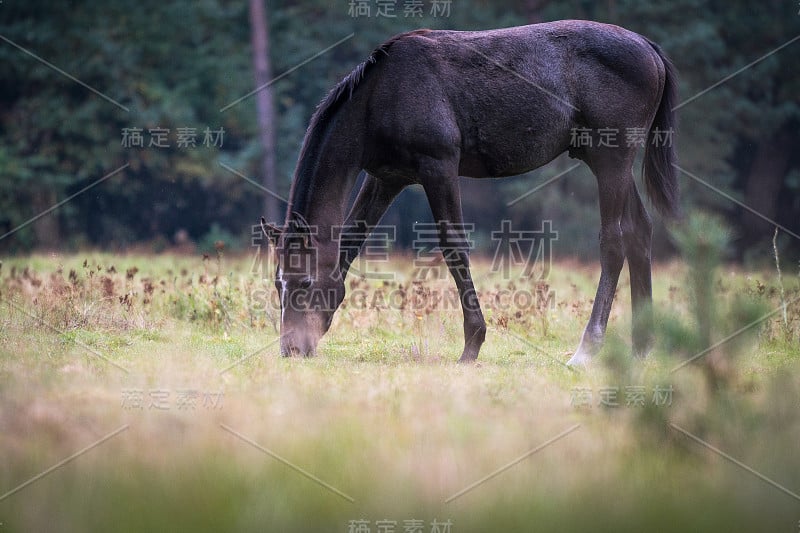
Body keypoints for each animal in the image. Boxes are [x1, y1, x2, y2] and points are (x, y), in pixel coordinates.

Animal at [260, 18, 676, 364]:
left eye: (305, 282)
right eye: (278, 283)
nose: (292, 349)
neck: (378, 97)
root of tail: (649, 47)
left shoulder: (439, 167)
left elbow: (454, 247)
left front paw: (472, 344)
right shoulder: (386, 178)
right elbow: (350, 241)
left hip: (611, 158)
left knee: (614, 242)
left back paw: (588, 349)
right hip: (603, 159)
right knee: (639, 232)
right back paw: (642, 348)